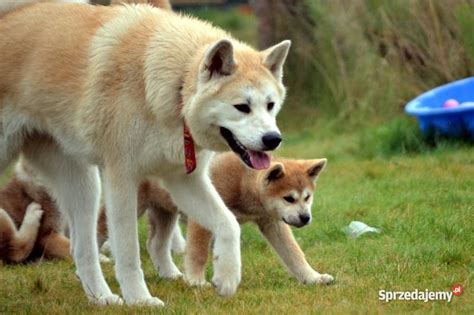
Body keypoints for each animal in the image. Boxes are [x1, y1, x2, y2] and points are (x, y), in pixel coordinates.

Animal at [0, 1, 290, 308]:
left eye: (270, 105)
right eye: (242, 107)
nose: (273, 139)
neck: (177, 85)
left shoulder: (185, 182)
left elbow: (228, 224)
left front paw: (227, 276)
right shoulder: (122, 180)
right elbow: (128, 251)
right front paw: (139, 299)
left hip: (83, 185)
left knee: (82, 249)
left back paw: (102, 298)